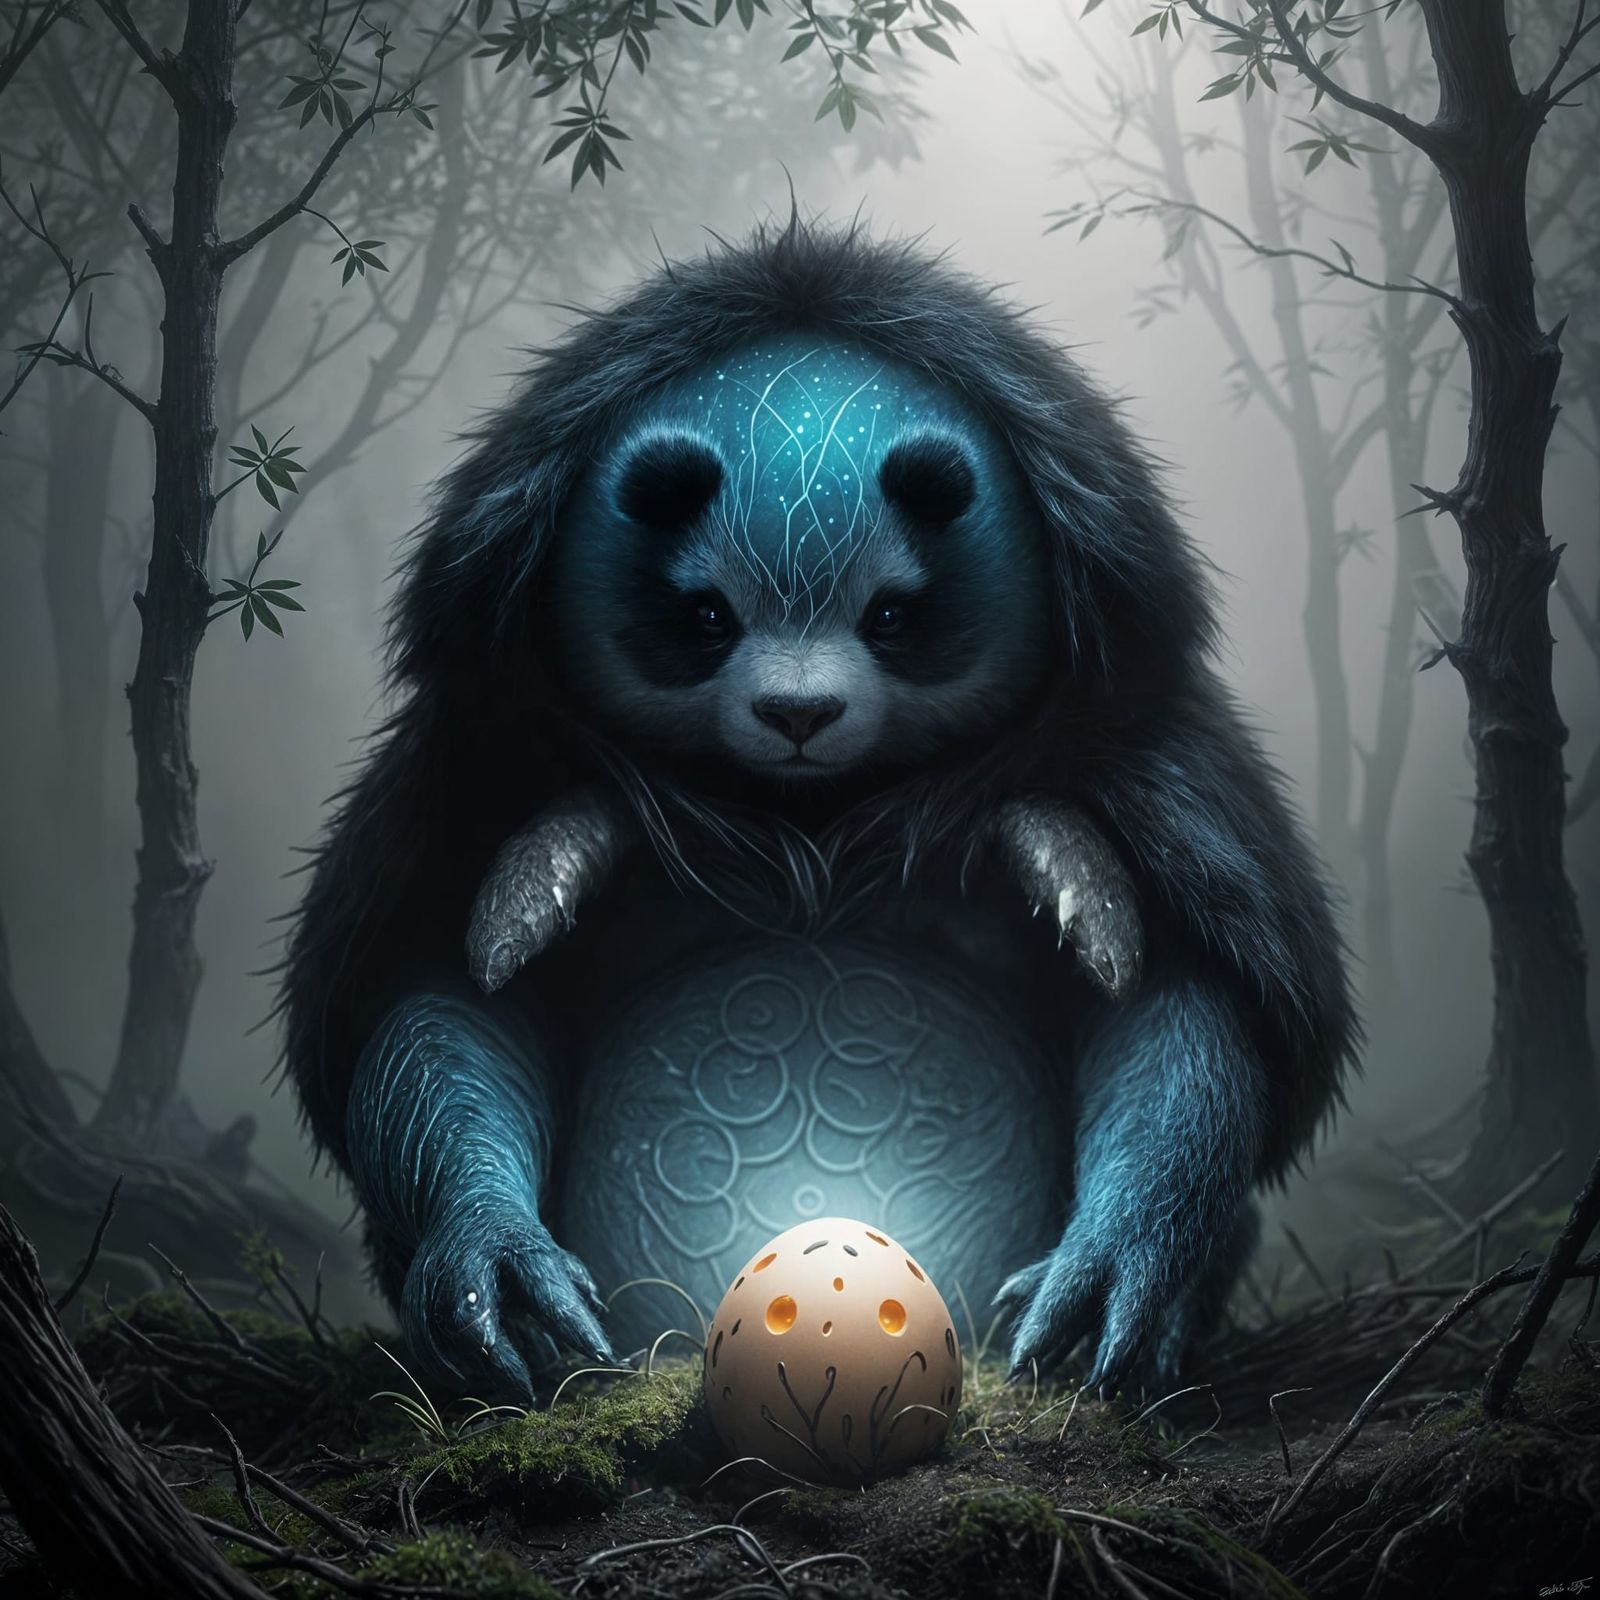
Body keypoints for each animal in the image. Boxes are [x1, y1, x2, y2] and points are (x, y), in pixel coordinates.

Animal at [280, 216, 1357, 1399]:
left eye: (892, 614)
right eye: (705, 615)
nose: (799, 711)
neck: (812, 821)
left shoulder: (1169, 783)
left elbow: (1186, 1017)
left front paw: (1115, 1280)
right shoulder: (456, 777)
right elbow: (440, 1013)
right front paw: (497, 1276)